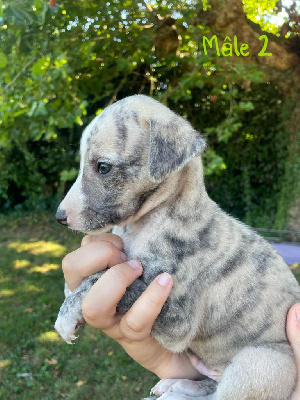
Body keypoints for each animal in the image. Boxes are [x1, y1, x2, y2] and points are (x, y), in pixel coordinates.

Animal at [54, 95, 300, 398]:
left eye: (103, 166)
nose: (60, 216)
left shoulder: (177, 319)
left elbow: (104, 279)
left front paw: (69, 311)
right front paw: (70, 290)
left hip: (260, 360)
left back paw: (177, 390)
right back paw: (178, 383)